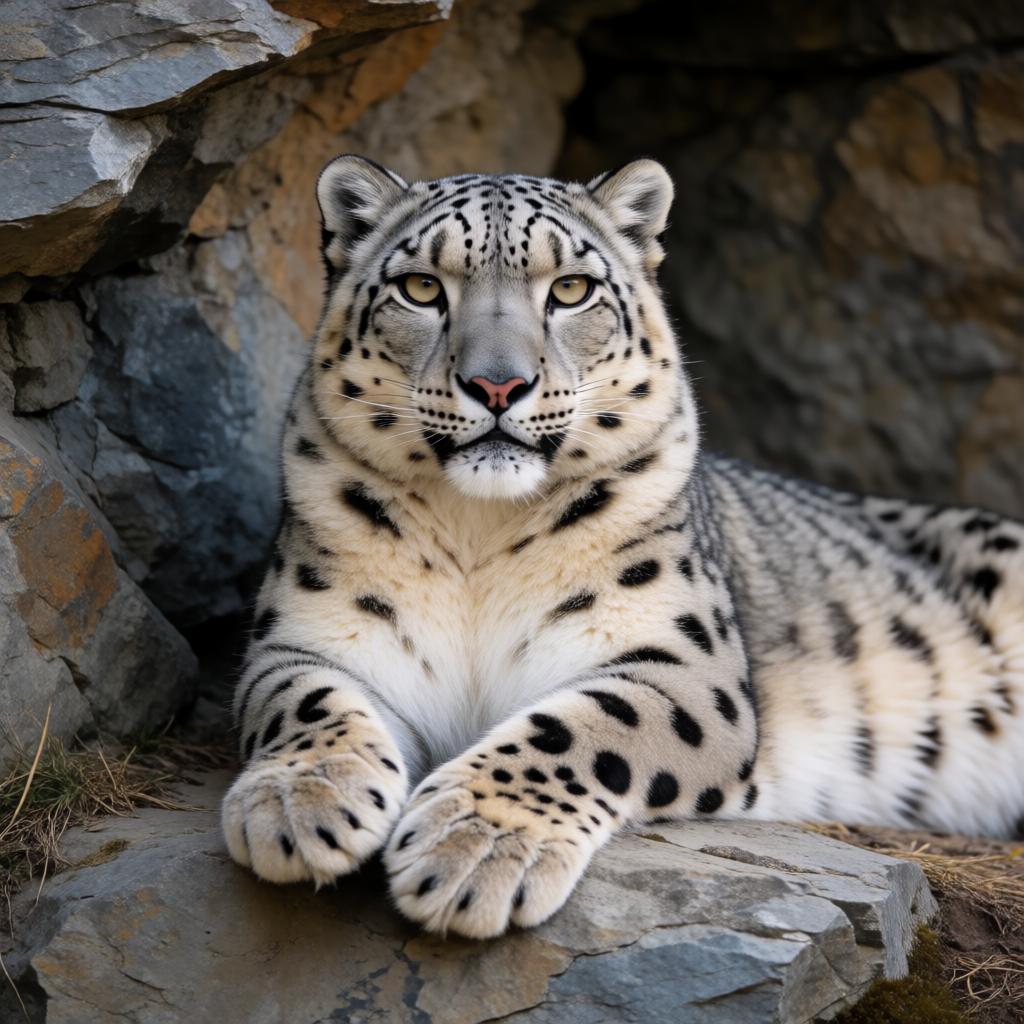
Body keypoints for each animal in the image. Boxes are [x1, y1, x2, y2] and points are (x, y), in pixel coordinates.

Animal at [221, 154, 1024, 940]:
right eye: (421, 287)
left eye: (570, 289)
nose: (497, 384)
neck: (477, 532)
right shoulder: (307, 637)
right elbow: (308, 702)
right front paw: (297, 803)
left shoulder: (684, 667)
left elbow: (581, 728)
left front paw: (473, 847)